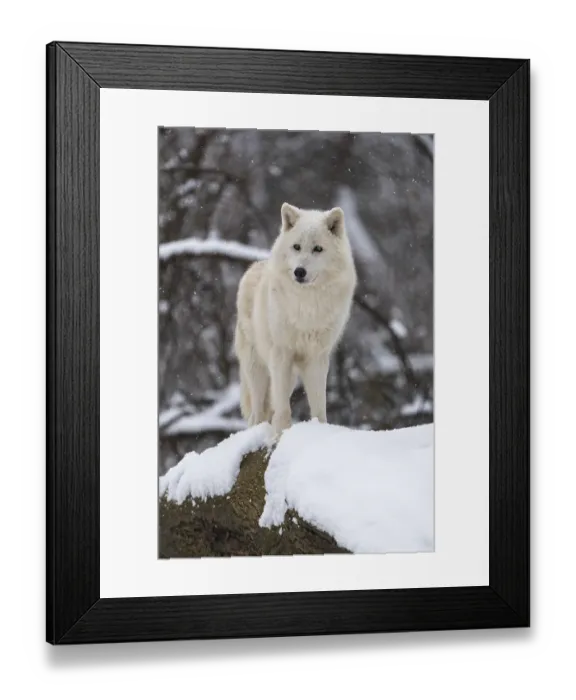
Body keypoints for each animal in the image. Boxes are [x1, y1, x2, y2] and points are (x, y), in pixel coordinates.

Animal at [234, 202, 357, 436]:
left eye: (318, 249)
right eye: (297, 247)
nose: (300, 272)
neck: (307, 305)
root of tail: (254, 267)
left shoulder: (317, 358)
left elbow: (319, 407)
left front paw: (320, 432)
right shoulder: (281, 355)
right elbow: (283, 410)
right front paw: (280, 434)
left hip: (288, 377)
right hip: (258, 370)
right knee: (257, 413)